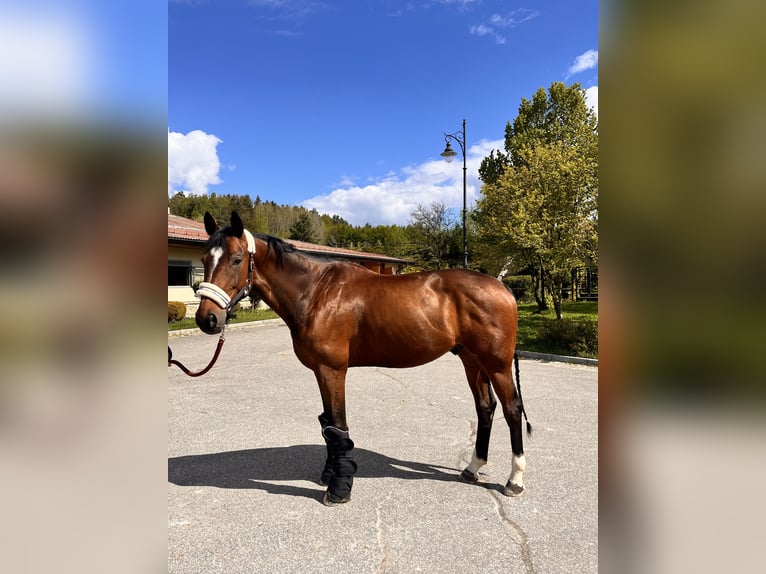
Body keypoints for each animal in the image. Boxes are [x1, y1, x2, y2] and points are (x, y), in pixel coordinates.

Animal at [196, 213, 536, 508]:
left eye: (237, 259)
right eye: (203, 260)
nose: (207, 319)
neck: (316, 292)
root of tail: (503, 287)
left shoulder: (332, 370)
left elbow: (338, 425)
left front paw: (339, 489)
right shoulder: (320, 371)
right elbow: (328, 425)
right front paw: (331, 474)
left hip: (496, 364)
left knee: (512, 409)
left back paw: (515, 480)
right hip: (472, 360)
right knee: (485, 408)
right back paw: (473, 468)